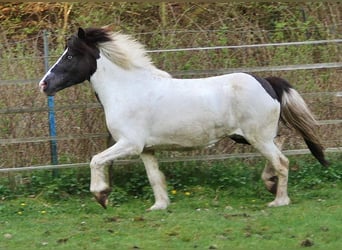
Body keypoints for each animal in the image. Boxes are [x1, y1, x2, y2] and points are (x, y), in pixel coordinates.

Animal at [38, 27, 328, 210]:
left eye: (70, 55)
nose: (44, 84)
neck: (127, 90)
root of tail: (266, 81)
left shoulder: (129, 143)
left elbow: (96, 160)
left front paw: (101, 196)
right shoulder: (146, 149)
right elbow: (155, 177)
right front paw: (159, 206)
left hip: (256, 137)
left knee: (282, 161)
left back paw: (279, 200)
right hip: (250, 137)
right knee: (281, 148)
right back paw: (270, 184)